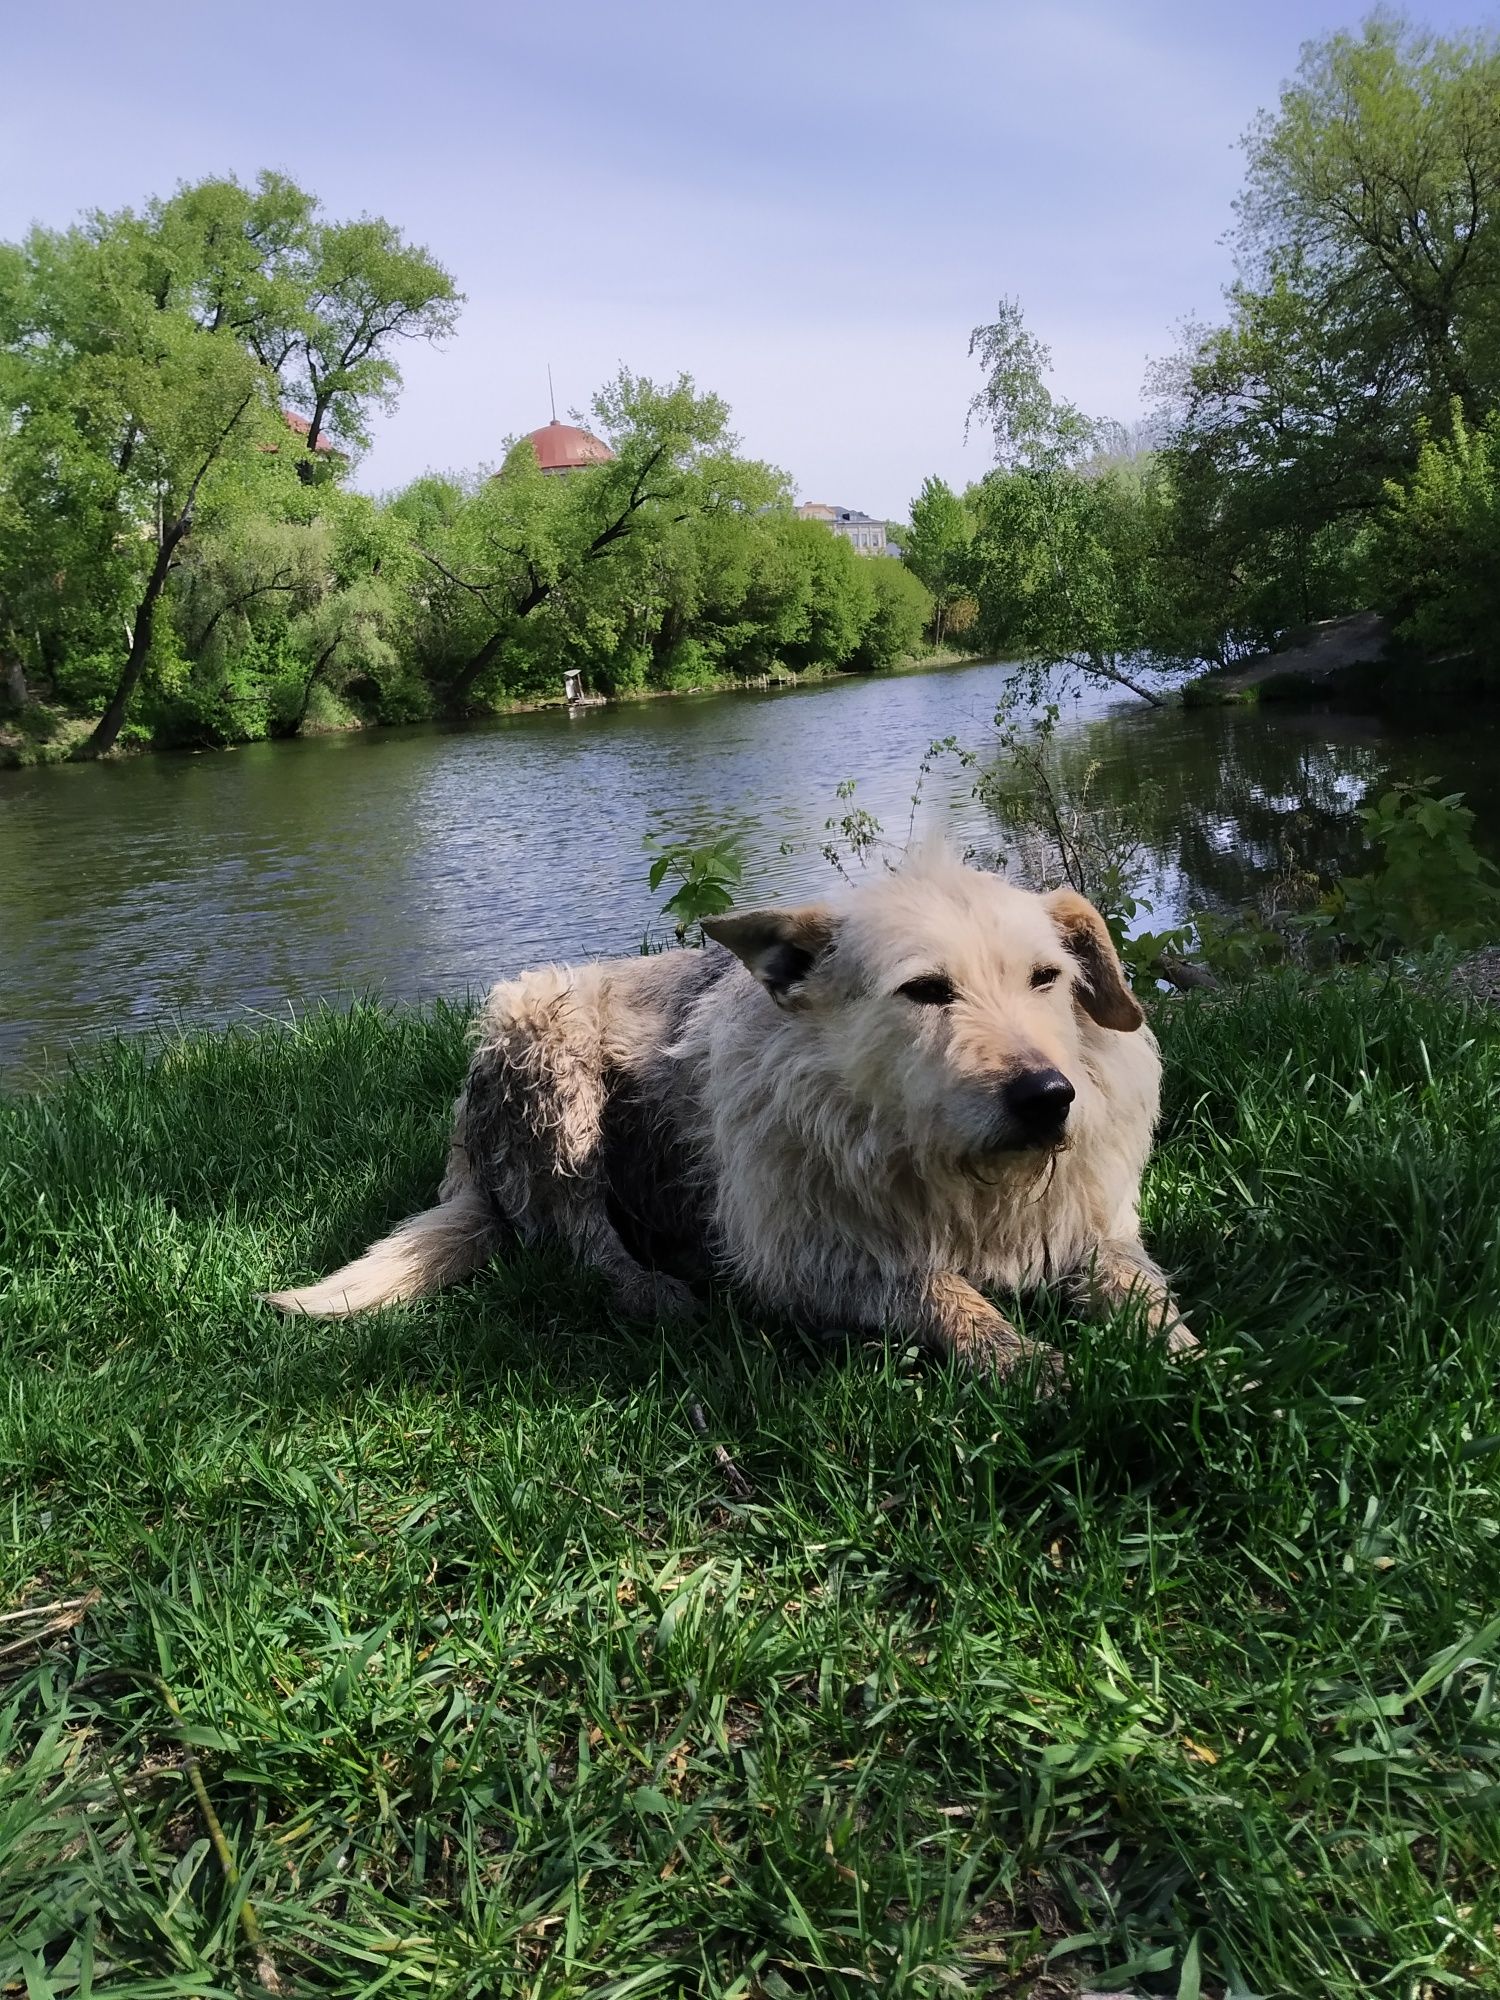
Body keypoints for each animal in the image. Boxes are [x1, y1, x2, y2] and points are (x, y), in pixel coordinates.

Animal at [264, 844, 1192, 1376]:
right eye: (926, 990)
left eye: (1047, 978)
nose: (1048, 1097)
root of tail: (465, 1138)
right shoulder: (808, 1259)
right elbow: (942, 1292)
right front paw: (1029, 1360)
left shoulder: (1098, 1230)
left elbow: (1140, 1288)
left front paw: (1183, 1357)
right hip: (550, 1052)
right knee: (575, 1234)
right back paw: (650, 1288)